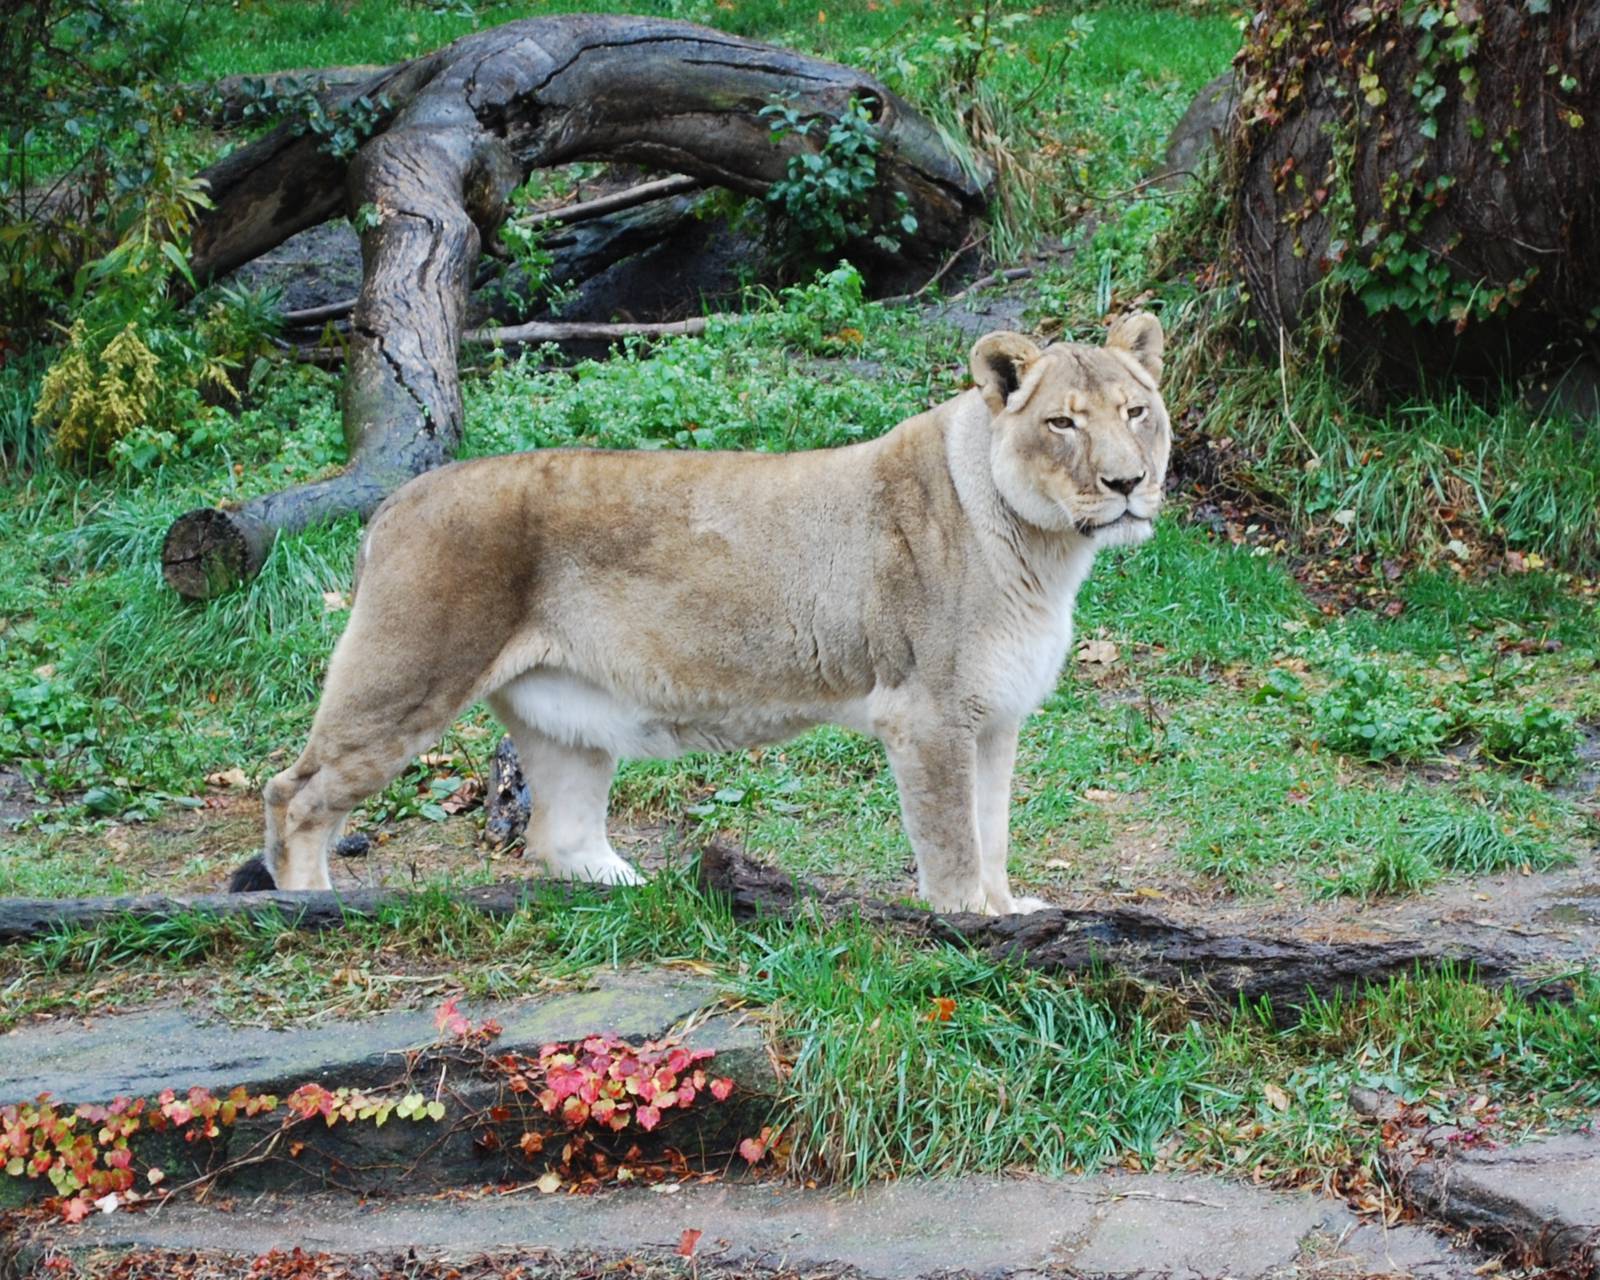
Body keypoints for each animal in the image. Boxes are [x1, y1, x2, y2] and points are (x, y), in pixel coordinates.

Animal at [237, 314, 1170, 915]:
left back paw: (644, 893)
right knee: (294, 792)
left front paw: (1010, 912)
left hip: (566, 717)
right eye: (1062, 423)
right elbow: (952, 840)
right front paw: (970, 927)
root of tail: (395, 500)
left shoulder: (993, 716)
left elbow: (995, 827)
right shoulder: (927, 714)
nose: (1128, 483)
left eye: (1137, 413)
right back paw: (308, 909)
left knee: (558, 838)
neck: (1043, 553)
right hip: (407, 674)